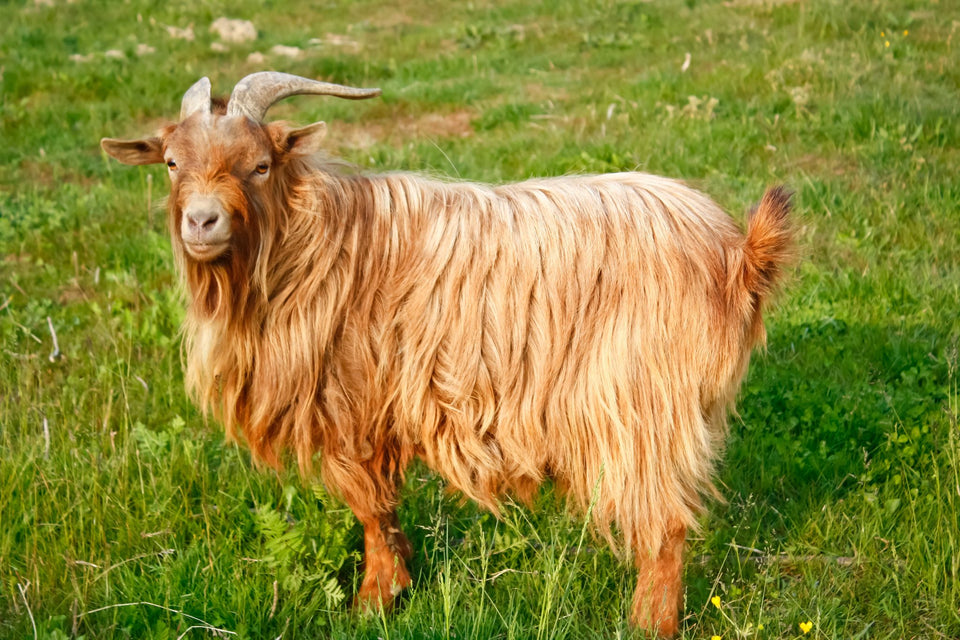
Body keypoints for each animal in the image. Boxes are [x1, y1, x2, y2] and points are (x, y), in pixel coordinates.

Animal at [101, 71, 793, 636]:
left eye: (261, 165)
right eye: (170, 162)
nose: (201, 221)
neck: (314, 244)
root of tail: (737, 253)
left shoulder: (355, 406)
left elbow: (370, 507)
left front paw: (374, 603)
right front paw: (398, 584)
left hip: (636, 405)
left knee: (665, 526)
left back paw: (647, 625)